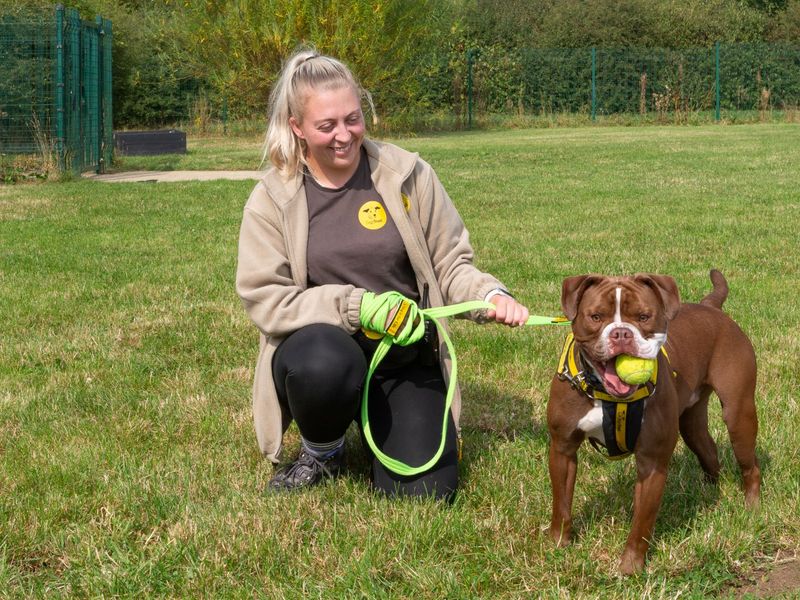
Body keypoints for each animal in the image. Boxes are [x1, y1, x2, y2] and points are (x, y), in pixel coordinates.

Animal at [548, 270, 760, 576]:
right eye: (596, 316)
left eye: (644, 316)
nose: (621, 333)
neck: (607, 396)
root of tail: (711, 306)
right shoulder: (562, 448)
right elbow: (561, 502)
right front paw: (558, 542)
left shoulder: (652, 462)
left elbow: (642, 522)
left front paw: (630, 567)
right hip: (691, 422)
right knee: (708, 450)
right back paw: (710, 492)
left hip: (738, 414)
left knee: (750, 465)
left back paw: (752, 508)